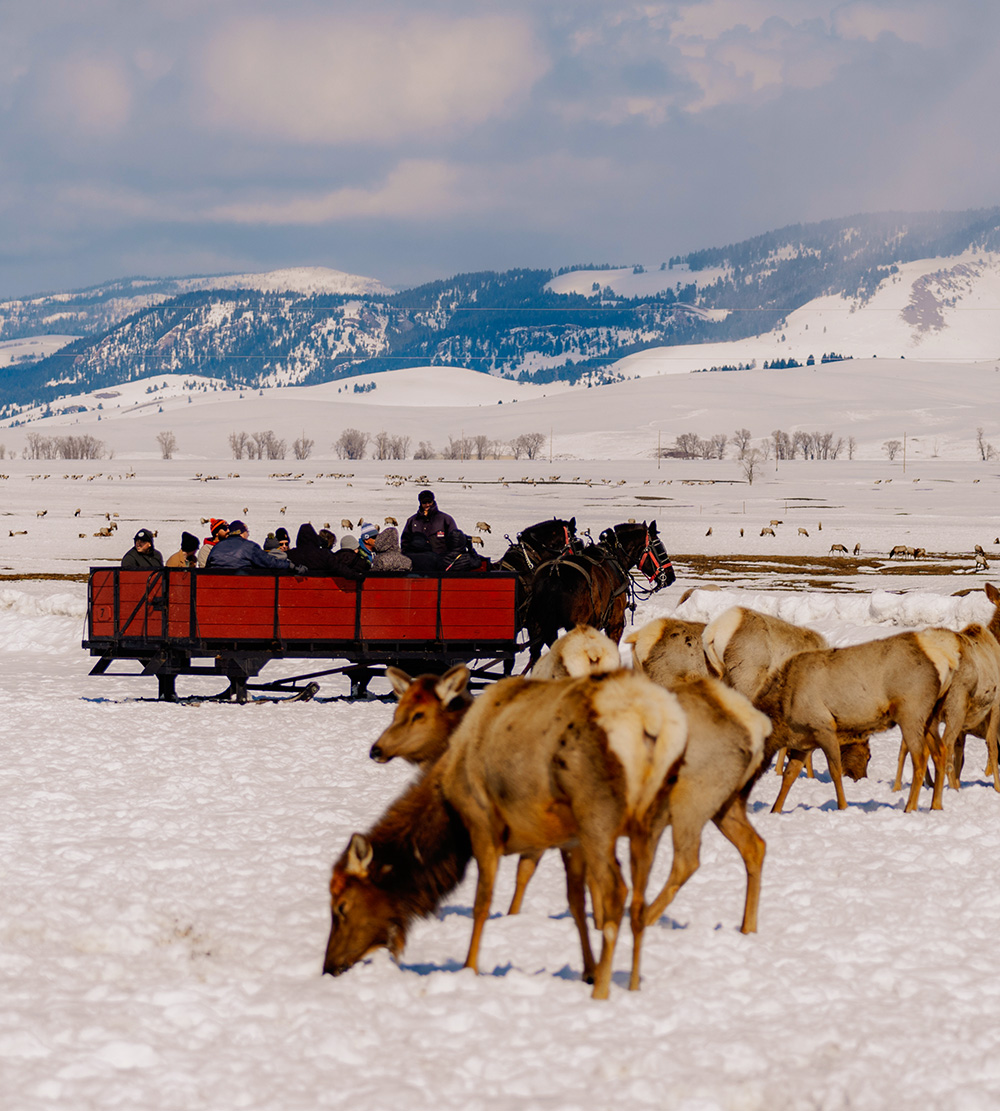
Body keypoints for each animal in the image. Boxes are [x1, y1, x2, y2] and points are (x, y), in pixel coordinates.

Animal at [753, 628, 962, 813]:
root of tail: (946, 659)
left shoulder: (824, 727)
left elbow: (835, 771)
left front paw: (843, 807)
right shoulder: (804, 740)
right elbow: (789, 775)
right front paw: (775, 810)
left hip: (911, 712)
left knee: (920, 757)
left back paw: (910, 807)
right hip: (931, 716)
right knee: (940, 751)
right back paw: (936, 806)